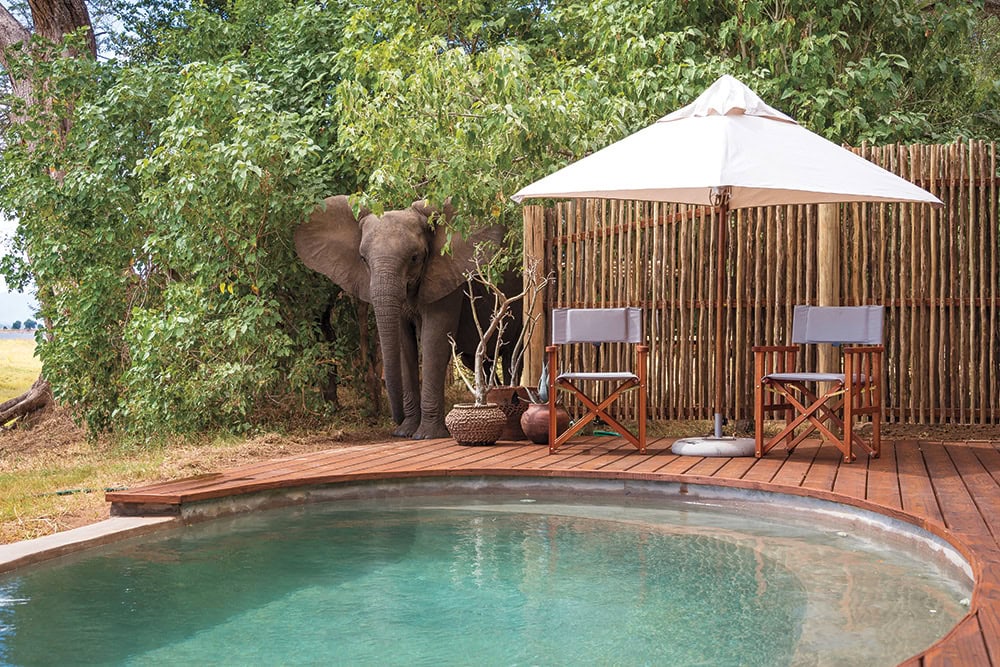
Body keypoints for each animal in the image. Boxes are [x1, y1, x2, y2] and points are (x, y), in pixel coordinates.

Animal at [294, 195, 522, 439]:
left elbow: (434, 339)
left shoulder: (445, 275)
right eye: (363, 259)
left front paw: (427, 435)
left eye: (414, 258)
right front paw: (405, 432)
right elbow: (403, 342)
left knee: (512, 357)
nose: (395, 419)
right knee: (479, 361)